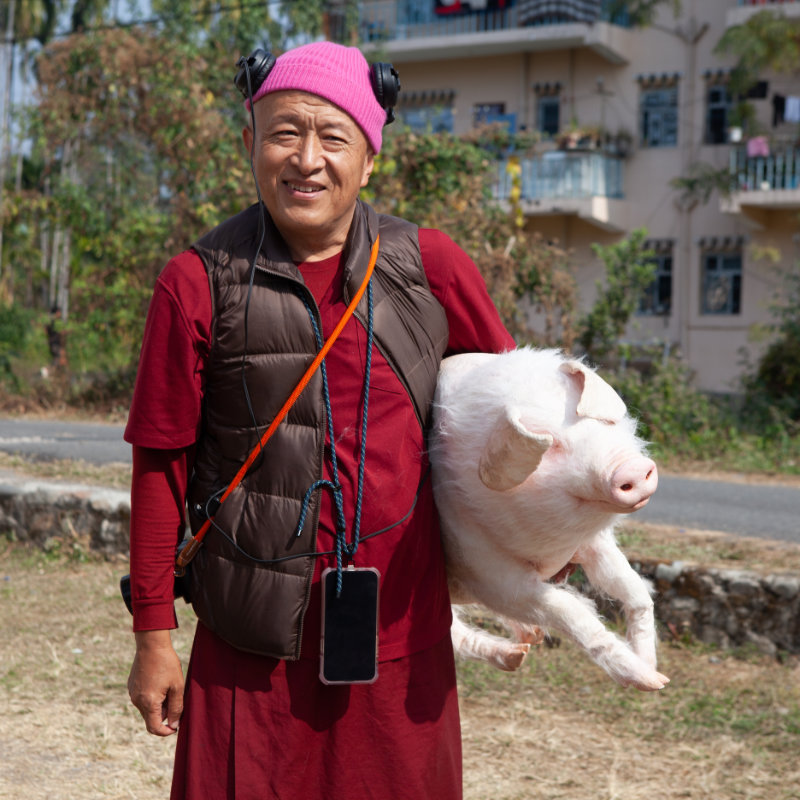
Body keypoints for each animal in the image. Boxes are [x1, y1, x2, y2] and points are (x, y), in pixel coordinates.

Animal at [430, 347, 669, 691]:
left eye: (595, 418)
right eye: (551, 444)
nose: (634, 470)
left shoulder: (591, 543)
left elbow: (632, 586)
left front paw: (655, 672)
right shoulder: (488, 574)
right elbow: (569, 609)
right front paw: (650, 681)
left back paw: (527, 644)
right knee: (452, 633)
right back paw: (518, 655)